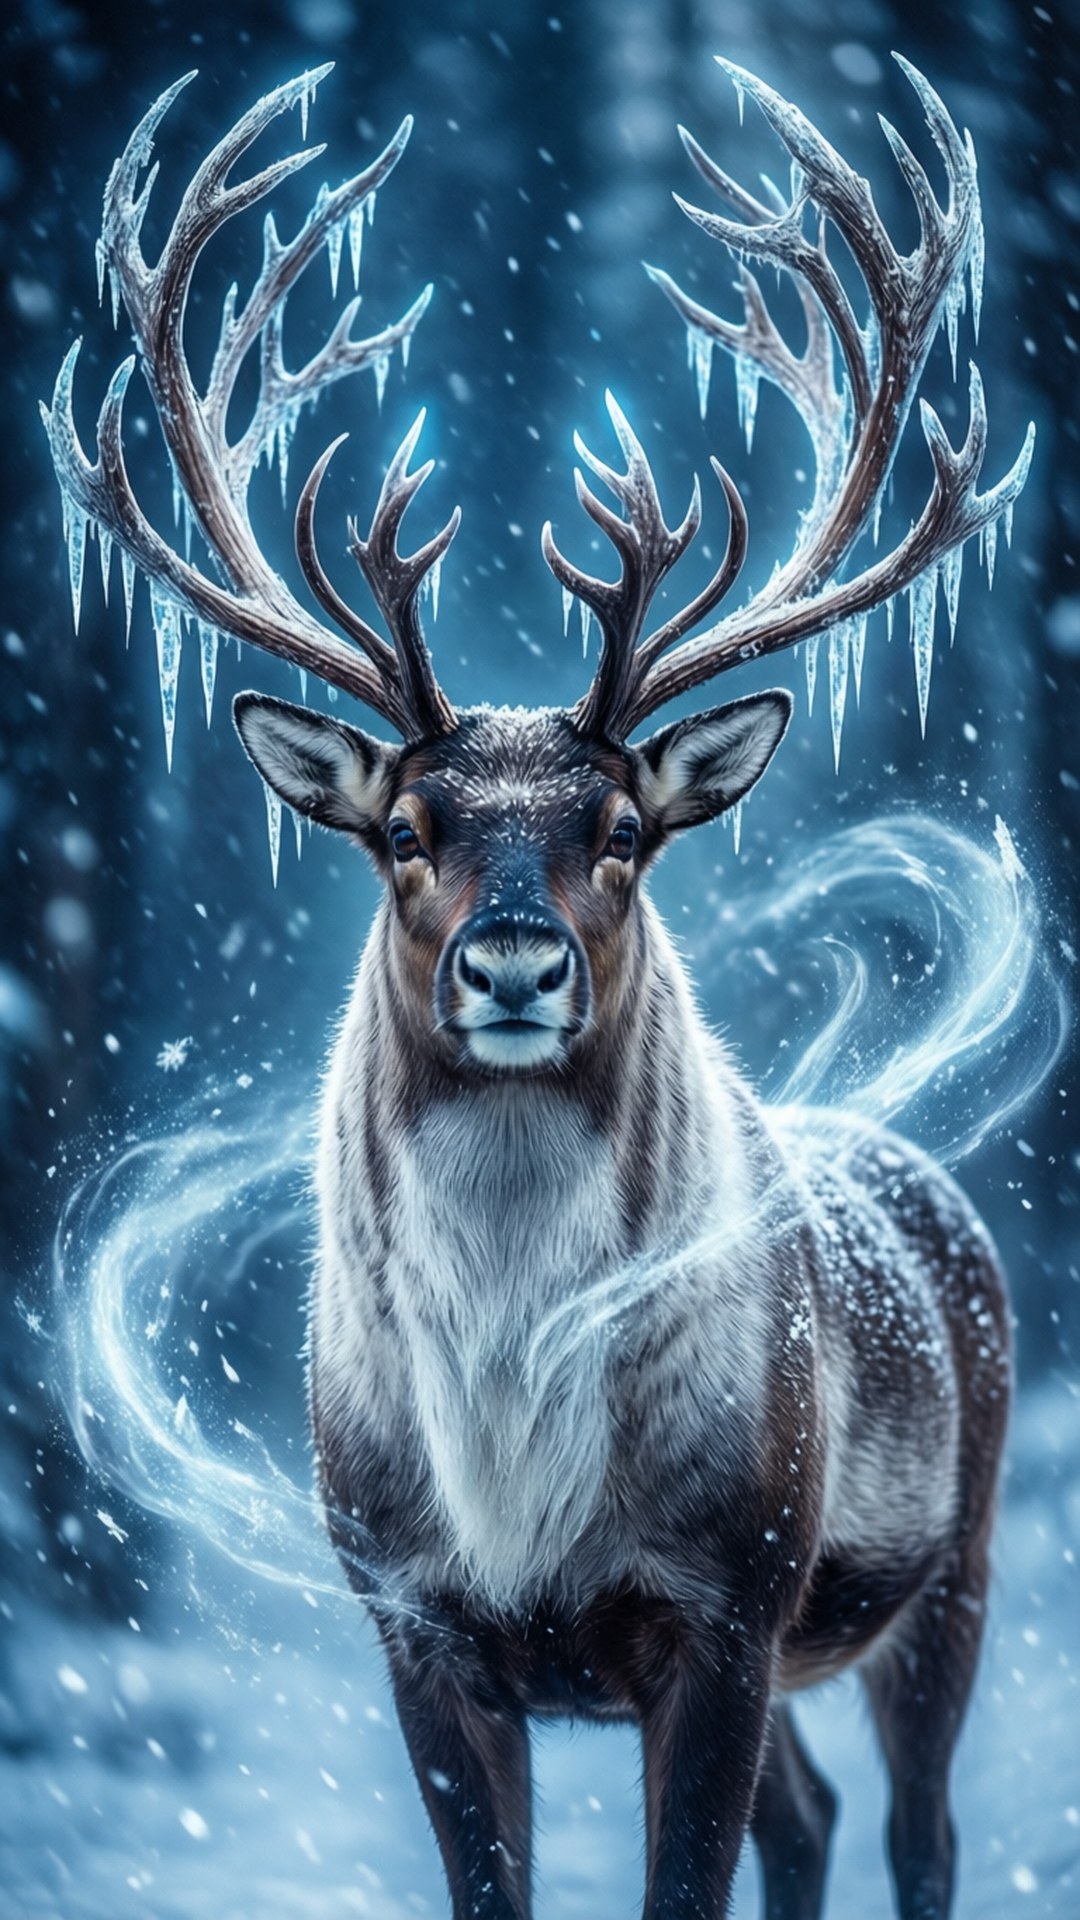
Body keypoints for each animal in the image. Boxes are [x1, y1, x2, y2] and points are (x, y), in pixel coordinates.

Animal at [43, 55, 1034, 1920]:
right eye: (403, 827)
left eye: (626, 827)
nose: (514, 962)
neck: (517, 1477)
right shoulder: (412, 1620)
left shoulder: (726, 1600)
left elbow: (692, 1880)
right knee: (812, 1817)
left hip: (950, 1563)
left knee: (923, 1830)